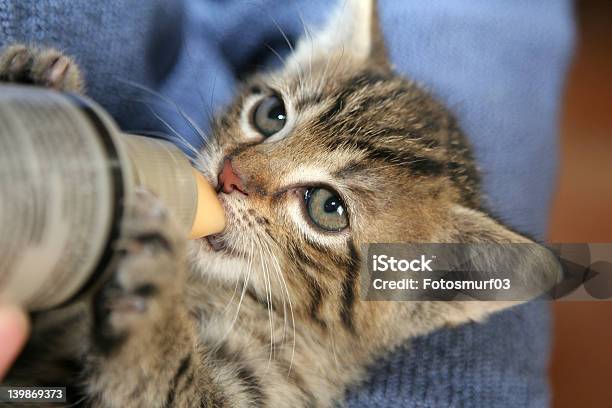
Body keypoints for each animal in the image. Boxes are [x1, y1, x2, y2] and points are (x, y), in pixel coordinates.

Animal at [1, 0, 548, 408]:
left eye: (327, 207)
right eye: (271, 113)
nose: (228, 176)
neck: (213, 286)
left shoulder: (276, 386)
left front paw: (153, 296)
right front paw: (36, 84)